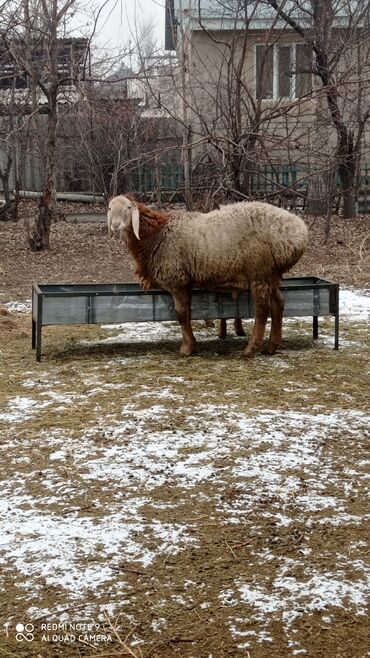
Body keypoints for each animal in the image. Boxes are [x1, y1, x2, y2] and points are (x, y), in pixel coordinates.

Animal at [107, 195, 310, 356]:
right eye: (110, 207)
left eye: (128, 207)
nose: (116, 226)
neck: (156, 233)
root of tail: (299, 232)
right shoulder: (185, 282)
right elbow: (187, 314)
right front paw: (191, 344)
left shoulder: (177, 280)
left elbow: (181, 314)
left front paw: (187, 348)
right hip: (271, 275)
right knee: (278, 304)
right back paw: (271, 347)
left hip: (259, 272)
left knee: (262, 310)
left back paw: (250, 350)